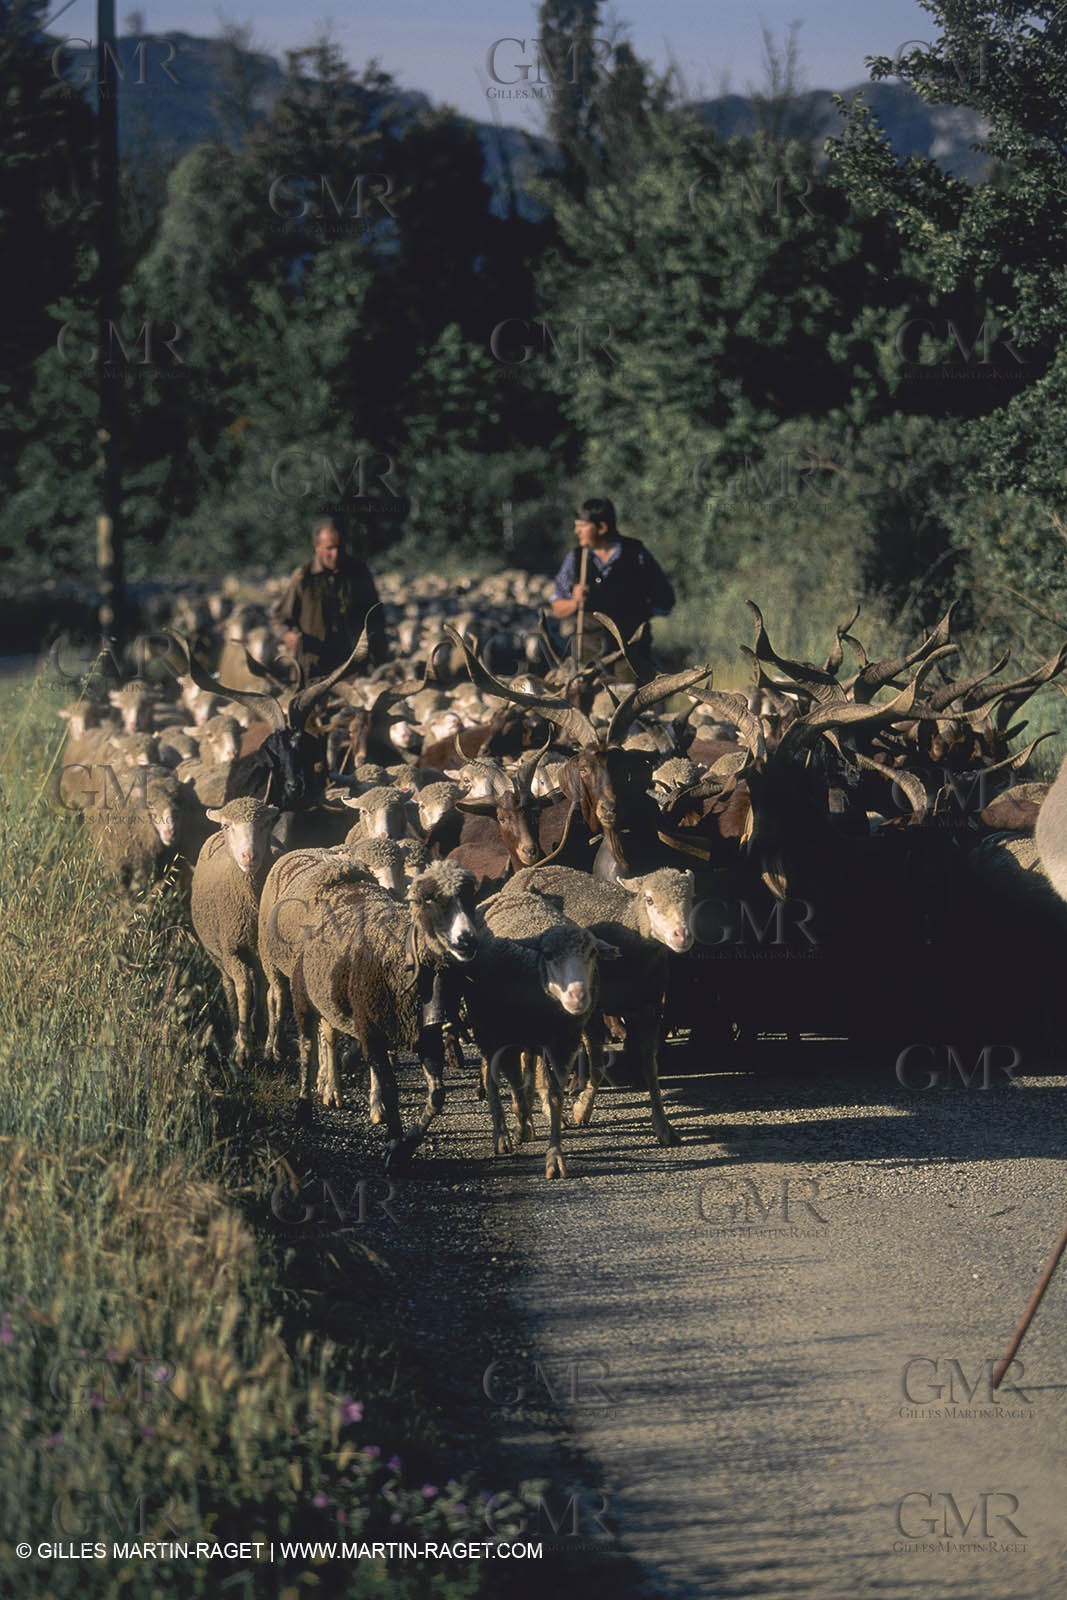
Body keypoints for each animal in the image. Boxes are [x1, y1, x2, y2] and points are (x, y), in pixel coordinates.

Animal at [190, 796, 281, 1067]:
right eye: (227, 826)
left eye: (265, 825)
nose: (249, 855)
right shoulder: (230, 951)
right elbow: (242, 988)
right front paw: (243, 1049)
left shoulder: (266, 950)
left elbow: (269, 989)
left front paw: (267, 1043)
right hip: (216, 954)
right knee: (229, 983)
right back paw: (235, 1025)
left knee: (259, 980)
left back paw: (258, 1024)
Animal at [501, 864, 695, 1145]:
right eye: (649, 900)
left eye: (690, 899)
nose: (682, 936)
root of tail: (528, 871)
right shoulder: (591, 1010)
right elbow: (598, 1066)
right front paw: (582, 1110)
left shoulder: (648, 1009)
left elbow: (650, 1067)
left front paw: (663, 1126)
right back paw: (543, 1113)